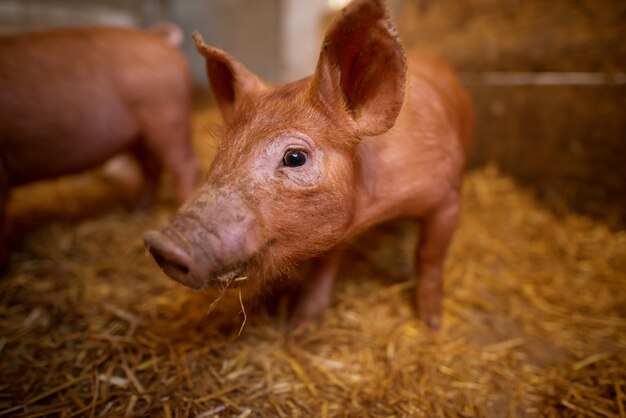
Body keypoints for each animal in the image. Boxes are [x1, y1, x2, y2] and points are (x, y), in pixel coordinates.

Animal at [0, 24, 197, 264]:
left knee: (184, 165)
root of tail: (156, 38)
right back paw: (135, 209)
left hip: (168, 116)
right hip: (138, 135)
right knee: (152, 167)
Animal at [144, 0, 470, 330]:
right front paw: (299, 325)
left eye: (295, 158)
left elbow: (429, 258)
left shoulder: (448, 196)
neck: (372, 210)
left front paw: (432, 323)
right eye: (222, 149)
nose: (162, 244)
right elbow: (325, 266)